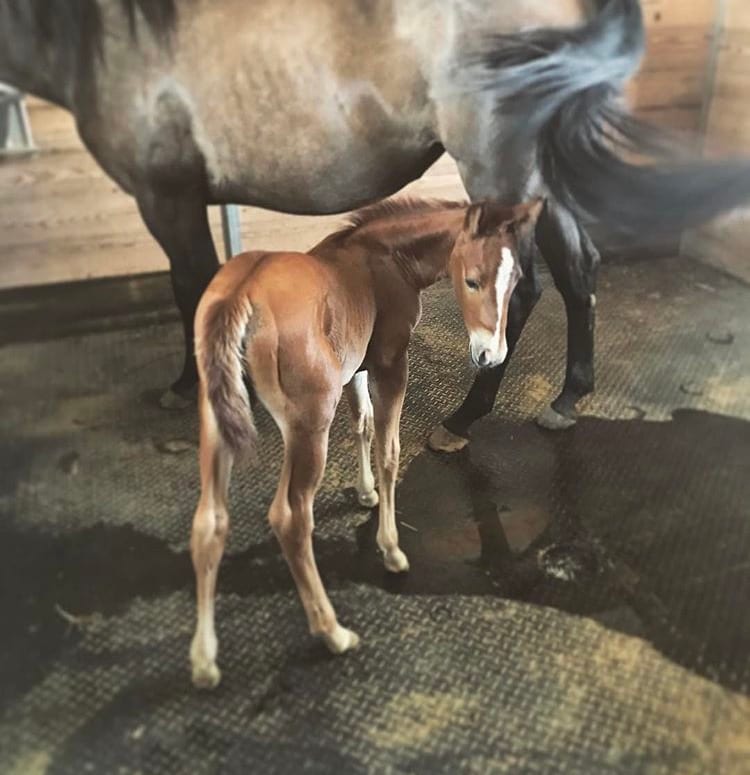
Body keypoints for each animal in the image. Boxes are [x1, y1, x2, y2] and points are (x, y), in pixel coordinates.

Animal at [3, 0, 750, 447]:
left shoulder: (168, 197)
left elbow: (191, 288)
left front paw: (192, 387)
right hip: (540, 170)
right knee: (578, 271)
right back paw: (566, 399)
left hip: (499, 165)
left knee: (525, 285)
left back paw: (462, 420)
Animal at [188, 196, 543, 688]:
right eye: (472, 280)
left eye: (515, 283)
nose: (492, 356)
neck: (386, 260)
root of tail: (242, 292)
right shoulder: (391, 363)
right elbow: (389, 450)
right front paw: (391, 548)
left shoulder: (357, 366)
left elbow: (363, 423)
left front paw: (365, 493)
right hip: (309, 422)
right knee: (290, 517)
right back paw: (332, 632)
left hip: (216, 415)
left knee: (209, 521)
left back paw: (204, 662)